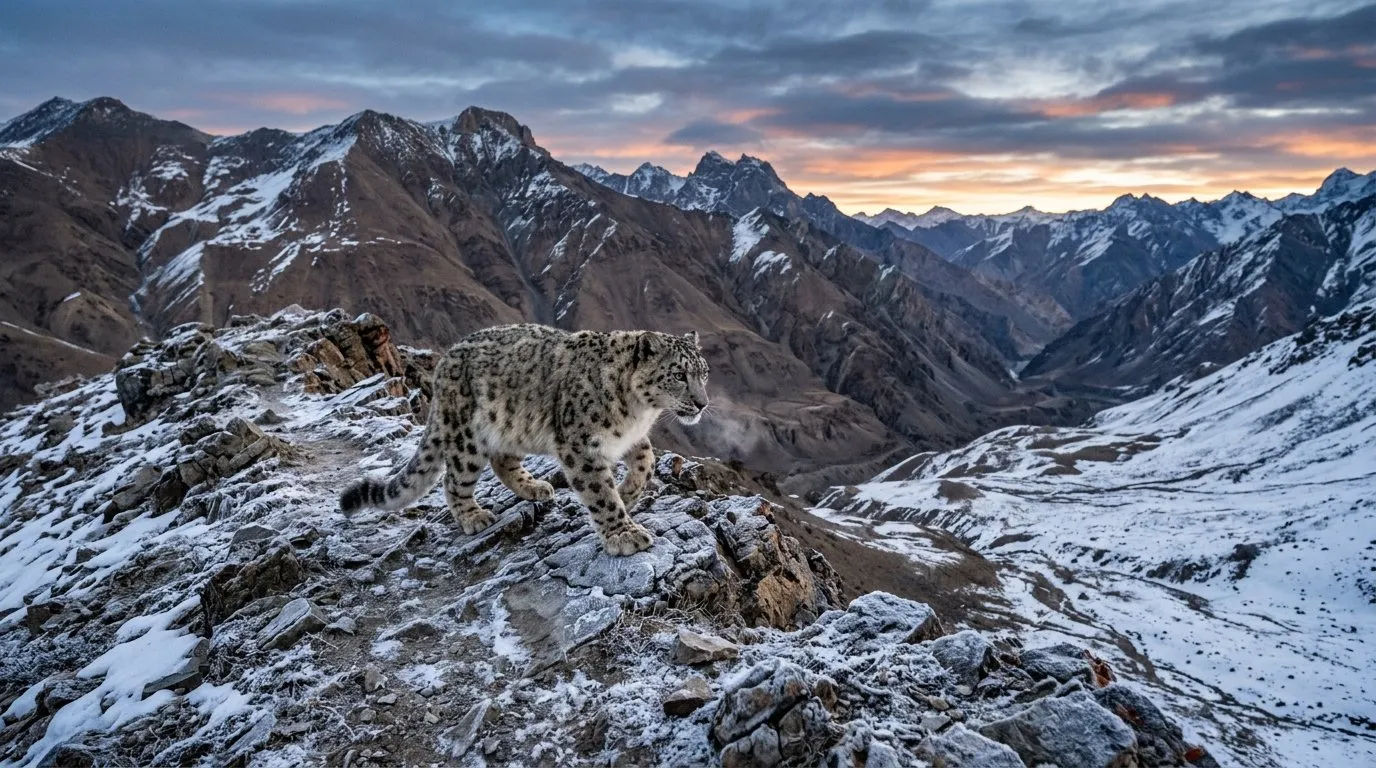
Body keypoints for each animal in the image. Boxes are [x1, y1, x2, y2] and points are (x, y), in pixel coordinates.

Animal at [339, 324, 710, 556]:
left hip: (512, 428)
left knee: (502, 460)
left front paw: (627, 494)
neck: (639, 413)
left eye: (704, 373)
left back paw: (535, 488)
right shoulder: (581, 445)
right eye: (679, 374)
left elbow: (646, 462)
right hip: (466, 437)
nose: (702, 403)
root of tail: (444, 363)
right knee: (453, 478)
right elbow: (600, 493)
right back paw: (473, 516)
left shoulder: (631, 438)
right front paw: (624, 533)